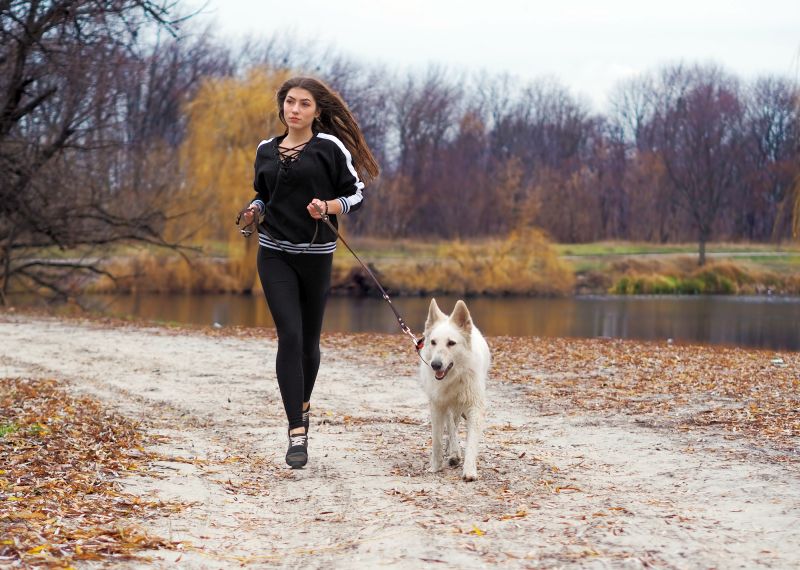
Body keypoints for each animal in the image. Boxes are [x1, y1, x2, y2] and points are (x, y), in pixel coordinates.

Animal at [418, 298, 488, 480]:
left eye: (451, 343)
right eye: (433, 342)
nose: (435, 365)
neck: (454, 376)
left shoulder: (474, 407)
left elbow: (471, 442)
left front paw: (469, 470)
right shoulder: (437, 405)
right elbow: (437, 439)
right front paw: (435, 467)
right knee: (451, 426)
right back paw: (454, 452)